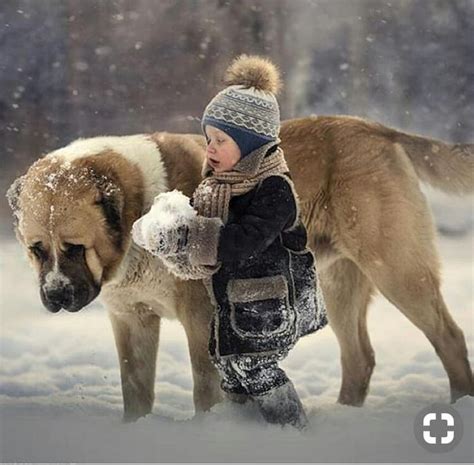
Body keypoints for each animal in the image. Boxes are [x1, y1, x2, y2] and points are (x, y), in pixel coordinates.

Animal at [8, 115, 474, 420]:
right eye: (36, 249)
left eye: (75, 247)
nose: (55, 296)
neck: (137, 211)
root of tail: (375, 127)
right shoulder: (131, 320)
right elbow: (135, 391)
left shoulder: (200, 318)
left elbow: (204, 387)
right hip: (337, 284)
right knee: (360, 357)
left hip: (396, 268)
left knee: (449, 337)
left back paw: (458, 403)